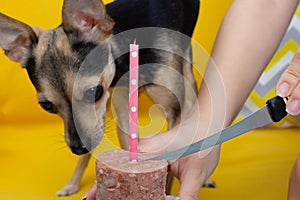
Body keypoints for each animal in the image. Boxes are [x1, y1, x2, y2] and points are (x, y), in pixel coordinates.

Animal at [0, 0, 211, 196]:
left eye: (95, 92)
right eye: (46, 106)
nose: (78, 148)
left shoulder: (174, 110)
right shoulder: (121, 110)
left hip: (187, 72)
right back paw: (72, 184)